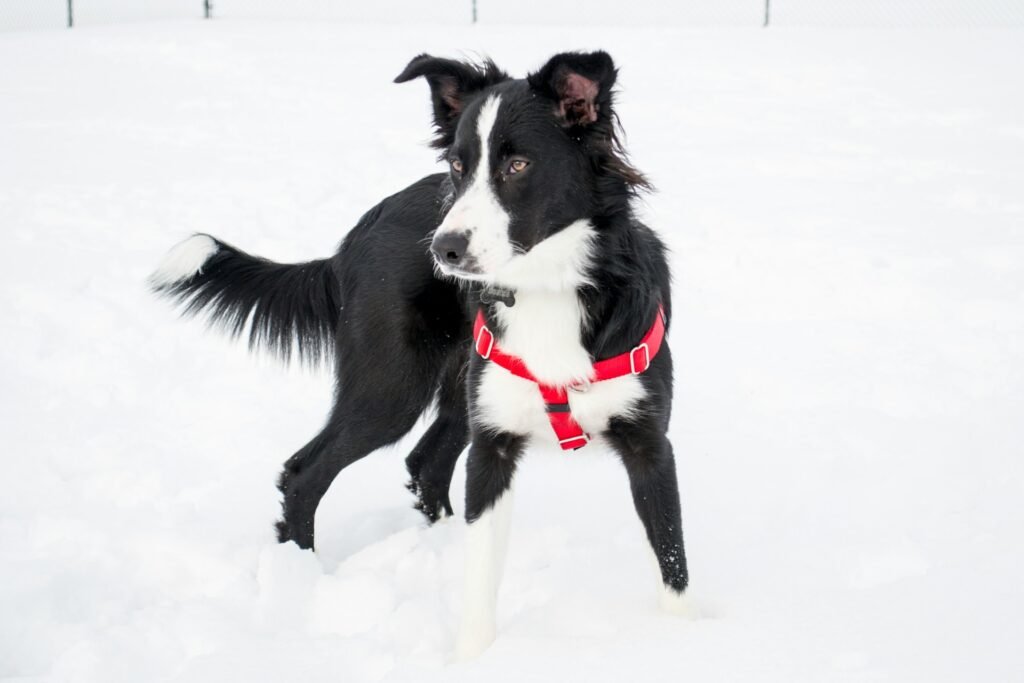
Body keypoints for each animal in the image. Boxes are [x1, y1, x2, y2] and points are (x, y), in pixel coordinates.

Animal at [151, 50, 692, 659]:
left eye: (518, 165)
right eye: (457, 166)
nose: (444, 249)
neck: (547, 286)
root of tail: (356, 235)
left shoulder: (648, 444)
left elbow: (672, 560)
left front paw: (687, 639)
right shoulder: (493, 445)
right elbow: (481, 577)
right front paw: (475, 657)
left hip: (455, 393)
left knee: (424, 463)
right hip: (391, 389)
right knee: (304, 472)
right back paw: (299, 582)